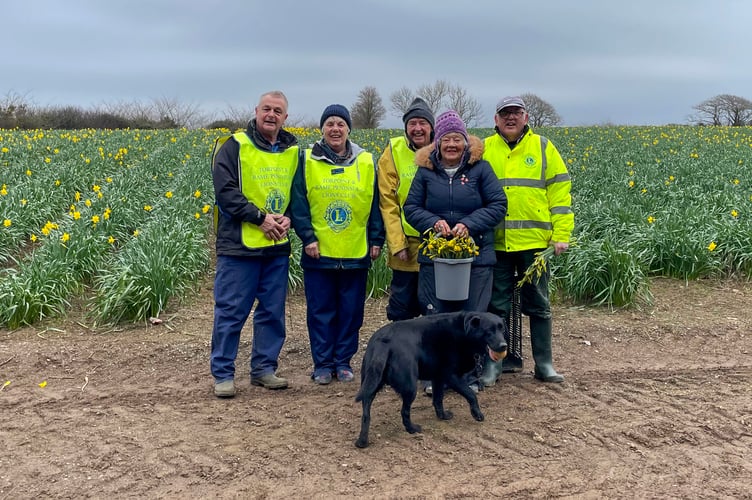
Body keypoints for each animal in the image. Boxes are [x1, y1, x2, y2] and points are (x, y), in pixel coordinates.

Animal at [352, 312, 506, 450]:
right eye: (488, 331)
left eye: (502, 329)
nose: (504, 345)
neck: (464, 331)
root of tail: (383, 342)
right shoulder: (452, 376)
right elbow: (471, 395)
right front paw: (477, 414)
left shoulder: (438, 377)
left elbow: (438, 399)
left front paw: (442, 416)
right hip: (410, 387)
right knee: (404, 412)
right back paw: (412, 429)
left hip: (370, 385)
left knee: (366, 415)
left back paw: (362, 442)